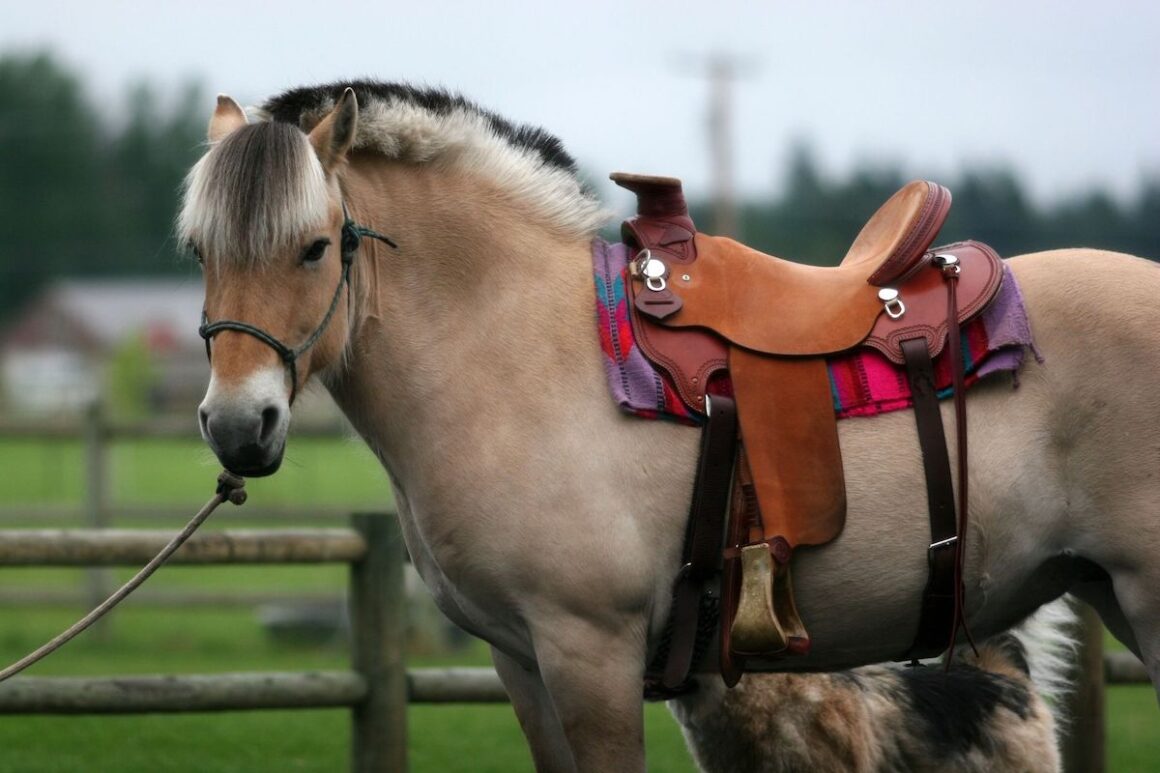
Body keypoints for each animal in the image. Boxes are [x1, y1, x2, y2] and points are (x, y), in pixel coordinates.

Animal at [180, 81, 1160, 766]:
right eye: (199, 250)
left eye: (314, 247)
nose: (237, 425)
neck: (512, 348)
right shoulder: (523, 664)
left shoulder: (592, 655)